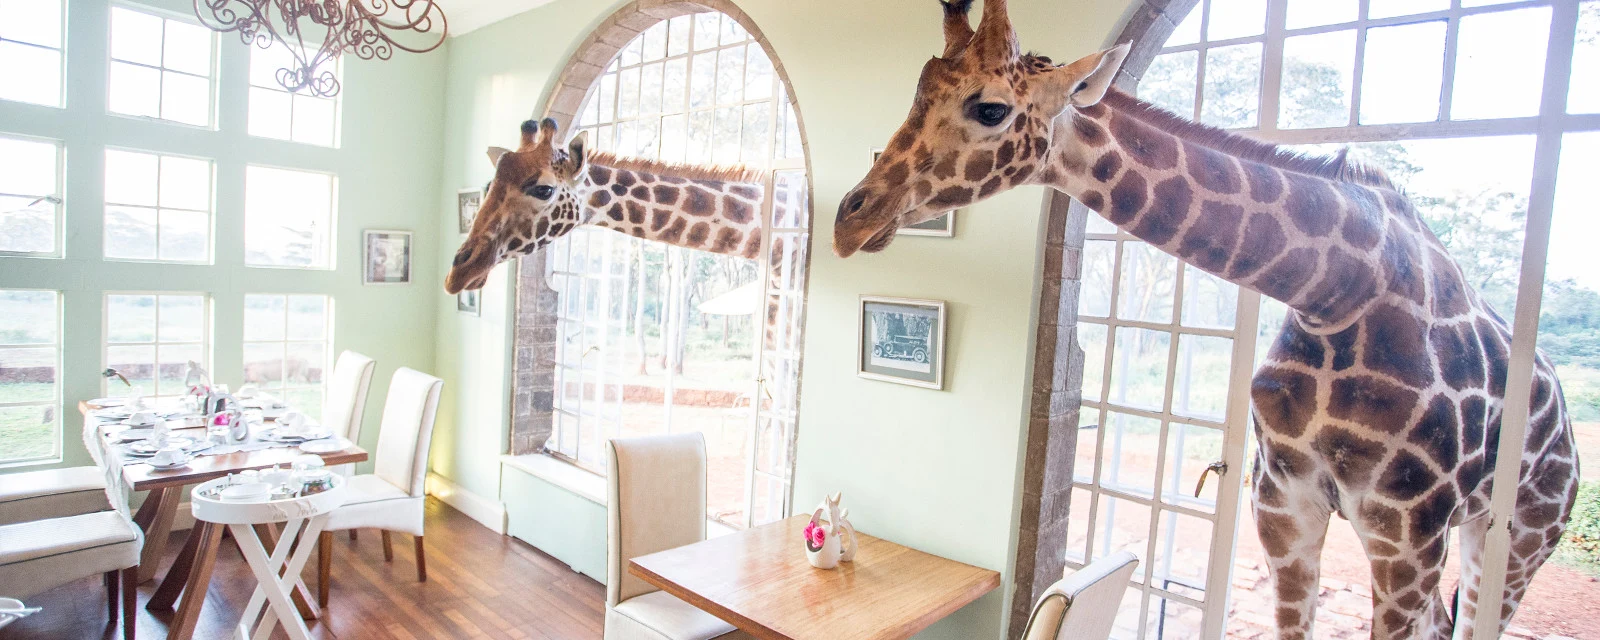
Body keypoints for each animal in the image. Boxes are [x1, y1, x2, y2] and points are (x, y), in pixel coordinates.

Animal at [833, 2, 1578, 639]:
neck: (1339, 289)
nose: (849, 219)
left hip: (1516, 536)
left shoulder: (1408, 534)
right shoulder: (1283, 508)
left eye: (989, 107)